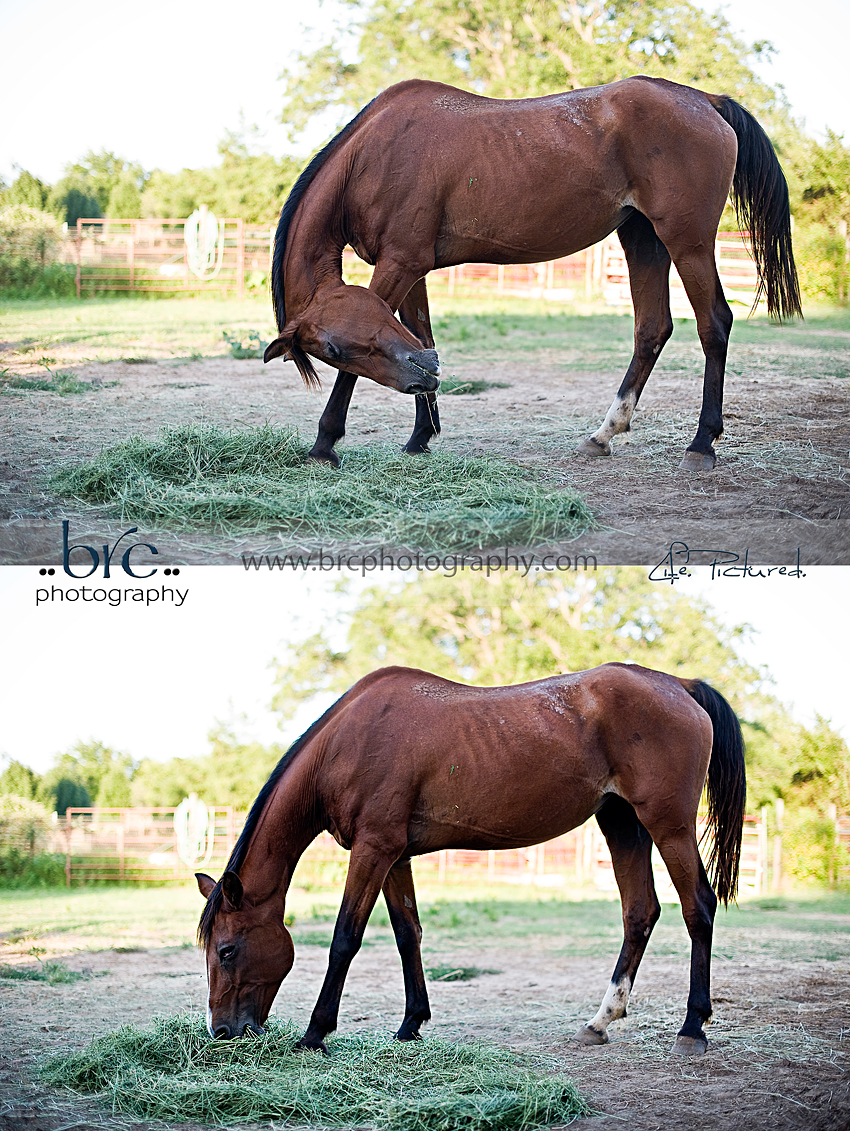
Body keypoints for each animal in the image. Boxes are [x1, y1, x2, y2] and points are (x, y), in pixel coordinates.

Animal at [197, 661, 746, 1056]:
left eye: (227, 951)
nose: (222, 1030)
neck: (347, 743)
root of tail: (678, 685)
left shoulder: (373, 851)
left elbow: (345, 940)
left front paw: (315, 1034)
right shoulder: (394, 856)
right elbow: (408, 935)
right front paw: (410, 1024)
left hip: (668, 825)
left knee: (698, 907)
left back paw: (693, 1026)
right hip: (622, 825)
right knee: (640, 913)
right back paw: (599, 1021)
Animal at [263, 75, 800, 472]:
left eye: (332, 349)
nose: (424, 376)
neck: (373, 154)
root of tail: (704, 100)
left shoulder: (398, 265)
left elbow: (355, 374)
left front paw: (324, 443)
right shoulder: (411, 266)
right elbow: (420, 335)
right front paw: (421, 434)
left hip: (686, 241)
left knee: (714, 324)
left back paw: (702, 443)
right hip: (643, 240)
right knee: (652, 329)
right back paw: (603, 434)